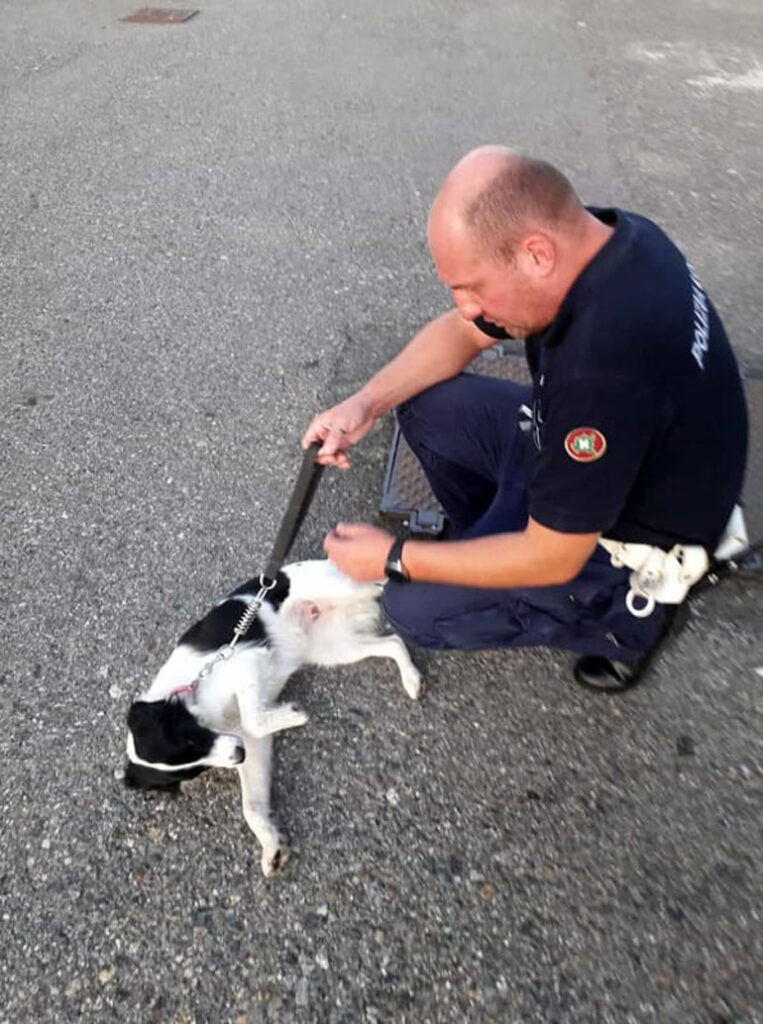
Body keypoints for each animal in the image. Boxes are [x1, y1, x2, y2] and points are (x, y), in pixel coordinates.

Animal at [124, 561, 421, 872]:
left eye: (192, 739)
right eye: (197, 769)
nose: (238, 754)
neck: (192, 690)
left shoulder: (245, 664)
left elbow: (254, 719)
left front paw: (294, 715)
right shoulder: (248, 744)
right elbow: (251, 808)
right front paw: (271, 846)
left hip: (344, 590)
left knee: (386, 583)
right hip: (334, 648)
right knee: (394, 641)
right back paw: (412, 679)